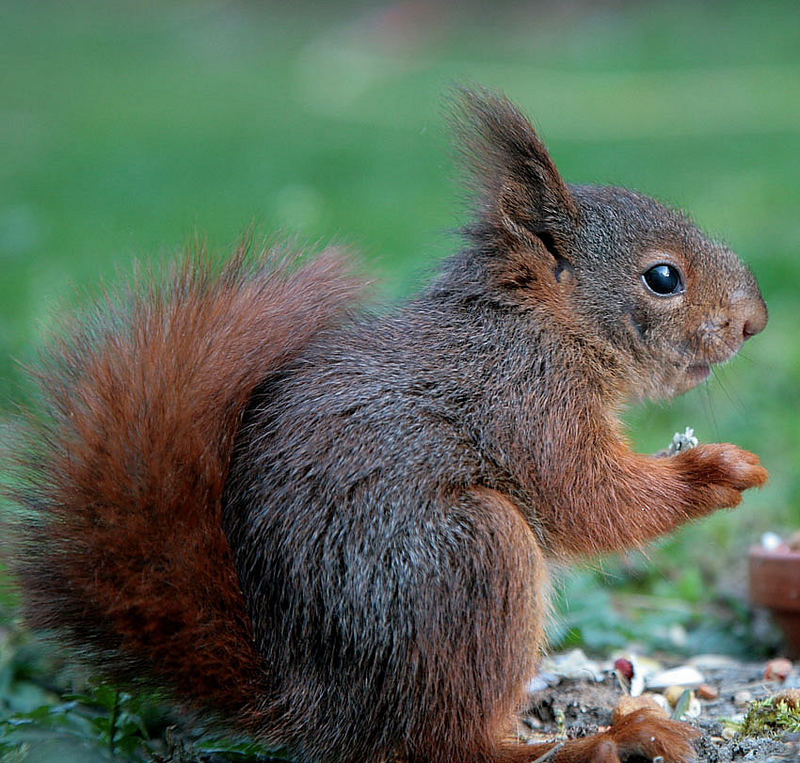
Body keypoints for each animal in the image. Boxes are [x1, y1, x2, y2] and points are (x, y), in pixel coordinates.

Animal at [6, 88, 768, 760]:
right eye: (663, 278)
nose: (755, 322)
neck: (543, 324)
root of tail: (326, 710)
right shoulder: (525, 402)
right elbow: (588, 498)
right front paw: (717, 471)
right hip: (468, 557)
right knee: (449, 745)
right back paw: (596, 743)